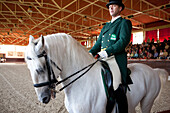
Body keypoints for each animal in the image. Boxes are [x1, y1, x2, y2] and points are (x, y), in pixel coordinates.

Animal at [25, 33, 169, 112]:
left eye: (40, 68)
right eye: (29, 68)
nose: (43, 99)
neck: (81, 83)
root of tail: (153, 71)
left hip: (147, 102)